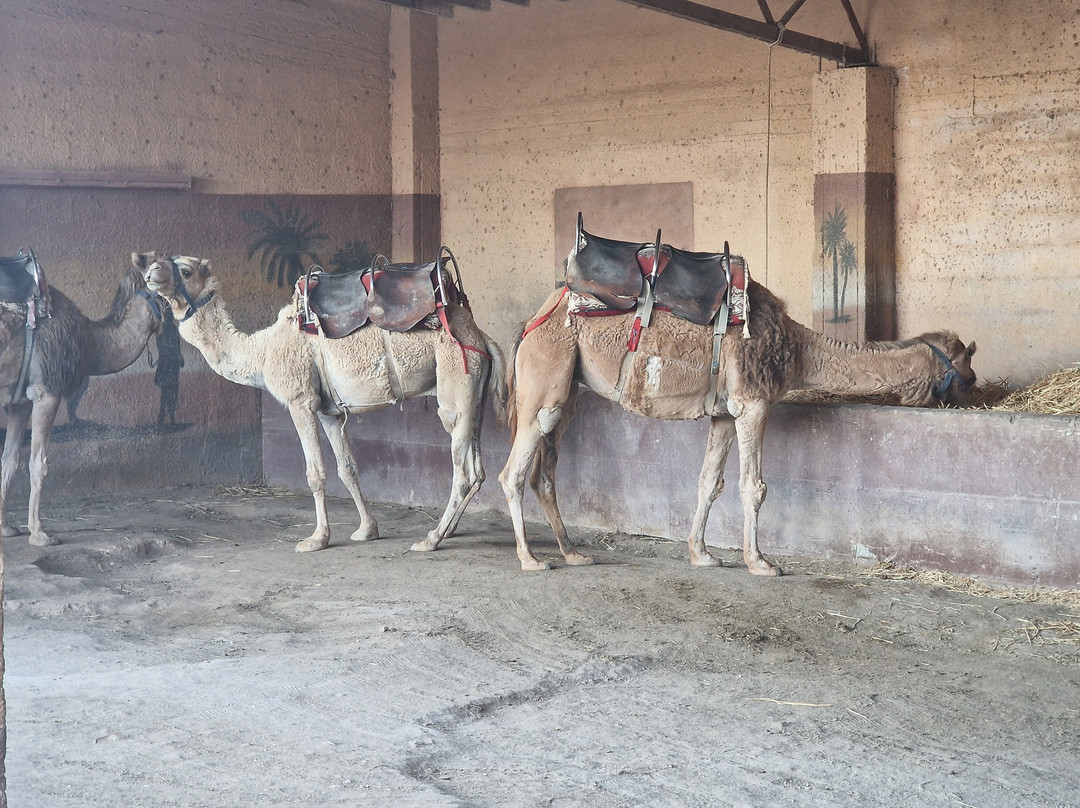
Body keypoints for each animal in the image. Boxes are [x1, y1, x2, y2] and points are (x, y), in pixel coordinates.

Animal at [0, 257, 165, 545]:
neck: (88, 341)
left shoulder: (18, 402)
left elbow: (9, 461)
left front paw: (6, 528)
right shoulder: (46, 391)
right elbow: (38, 463)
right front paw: (40, 534)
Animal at [138, 253, 507, 553]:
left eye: (185, 270)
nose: (150, 273)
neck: (264, 351)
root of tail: (481, 337)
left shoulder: (300, 400)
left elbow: (315, 473)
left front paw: (316, 539)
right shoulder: (330, 410)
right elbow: (348, 468)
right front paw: (367, 530)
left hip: (455, 386)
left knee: (463, 468)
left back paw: (431, 539)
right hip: (474, 397)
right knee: (478, 469)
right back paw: (448, 530)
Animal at [499, 276, 977, 575]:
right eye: (967, 373)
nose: (976, 394)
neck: (797, 348)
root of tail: (531, 323)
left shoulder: (724, 414)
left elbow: (708, 481)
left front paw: (701, 554)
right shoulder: (753, 404)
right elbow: (754, 486)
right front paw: (760, 562)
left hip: (569, 390)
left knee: (545, 471)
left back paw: (573, 553)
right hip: (546, 380)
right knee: (513, 472)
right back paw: (530, 559)